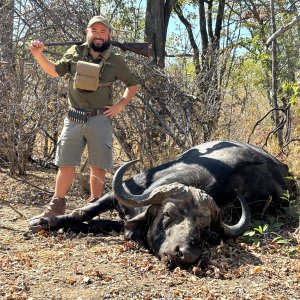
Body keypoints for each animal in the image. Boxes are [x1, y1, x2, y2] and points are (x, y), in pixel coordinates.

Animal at [28, 141, 292, 268]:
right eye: (167, 216)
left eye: (204, 228)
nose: (187, 254)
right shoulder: (117, 195)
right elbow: (84, 211)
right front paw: (44, 221)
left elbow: (100, 223)